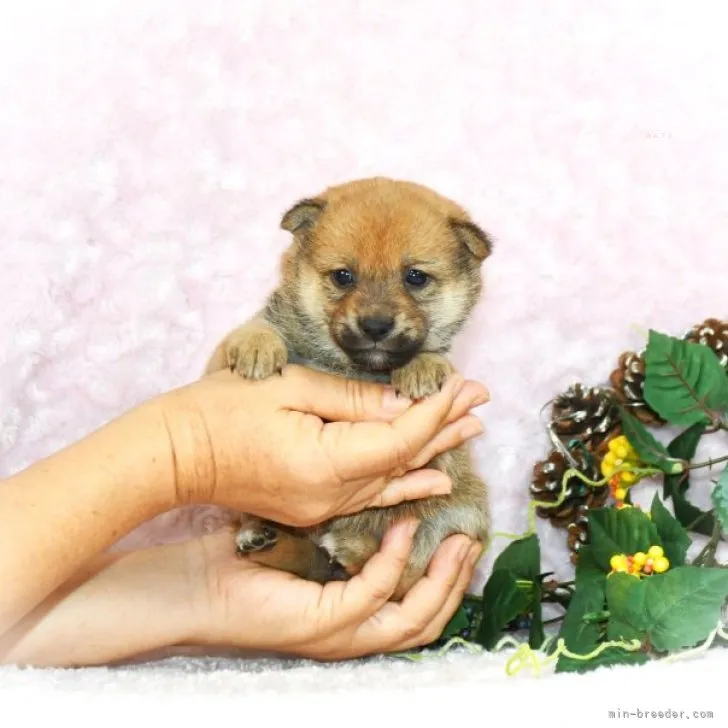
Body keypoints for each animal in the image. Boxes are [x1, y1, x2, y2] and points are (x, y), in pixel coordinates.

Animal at [202, 176, 492, 596]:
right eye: (343, 276)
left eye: (415, 277)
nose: (375, 326)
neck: (353, 367)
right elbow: (255, 327)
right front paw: (257, 347)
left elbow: (431, 355)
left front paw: (422, 367)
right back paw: (262, 537)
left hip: (458, 515)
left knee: (398, 572)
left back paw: (347, 547)